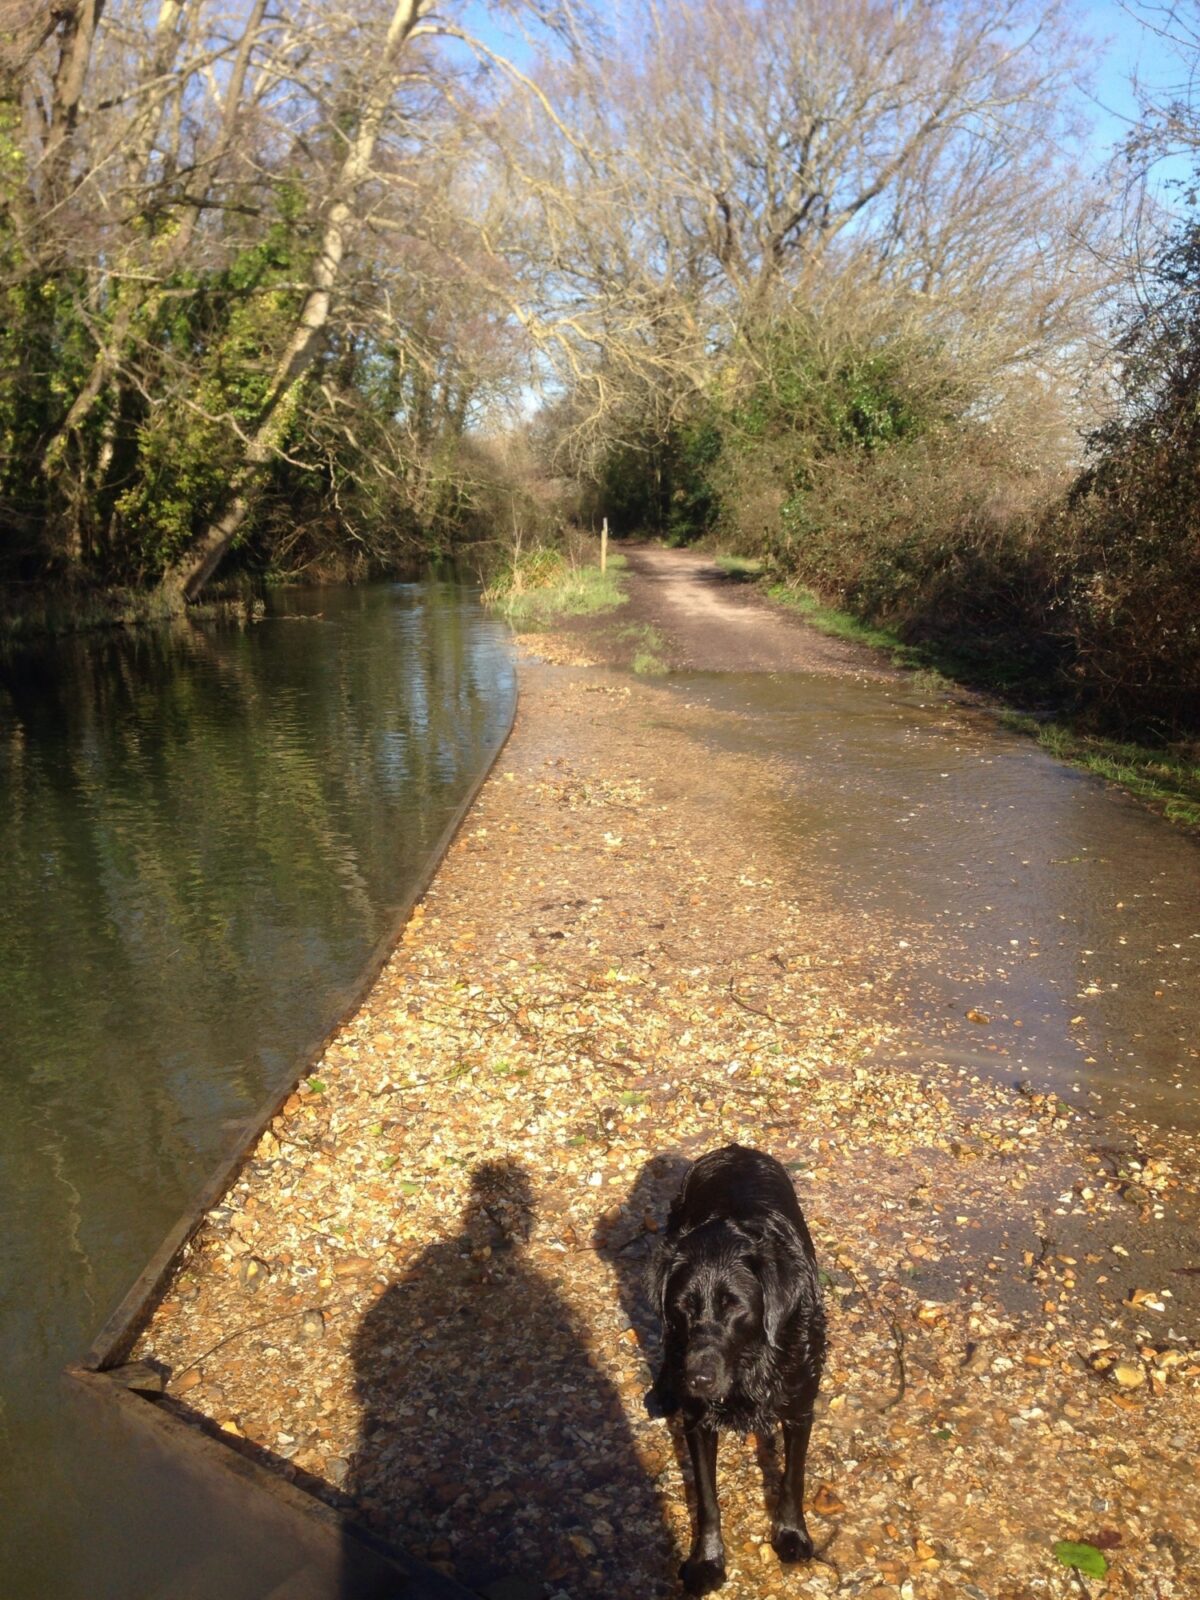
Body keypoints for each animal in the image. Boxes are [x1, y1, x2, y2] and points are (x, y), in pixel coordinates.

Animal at [649, 1145, 825, 1593]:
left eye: (736, 1307)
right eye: (684, 1306)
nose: (697, 1379)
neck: (750, 1363)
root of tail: (734, 1148)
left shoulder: (800, 1407)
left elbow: (793, 1478)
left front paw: (791, 1534)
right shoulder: (697, 1420)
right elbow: (707, 1499)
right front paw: (706, 1560)